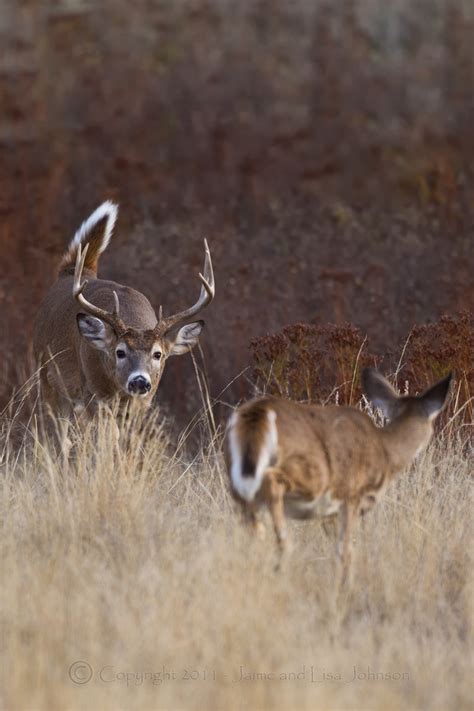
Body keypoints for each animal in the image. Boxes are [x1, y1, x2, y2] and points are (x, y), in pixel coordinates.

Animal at [34, 200, 216, 422]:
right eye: (120, 352)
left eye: (158, 354)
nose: (139, 381)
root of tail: (70, 272)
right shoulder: (93, 395)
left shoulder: (143, 402)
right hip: (45, 375)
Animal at [226, 370, 452, 580]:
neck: (385, 451)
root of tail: (258, 413)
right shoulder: (351, 495)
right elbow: (346, 551)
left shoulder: (329, 513)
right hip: (315, 476)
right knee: (272, 484)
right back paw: (284, 548)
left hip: (235, 479)